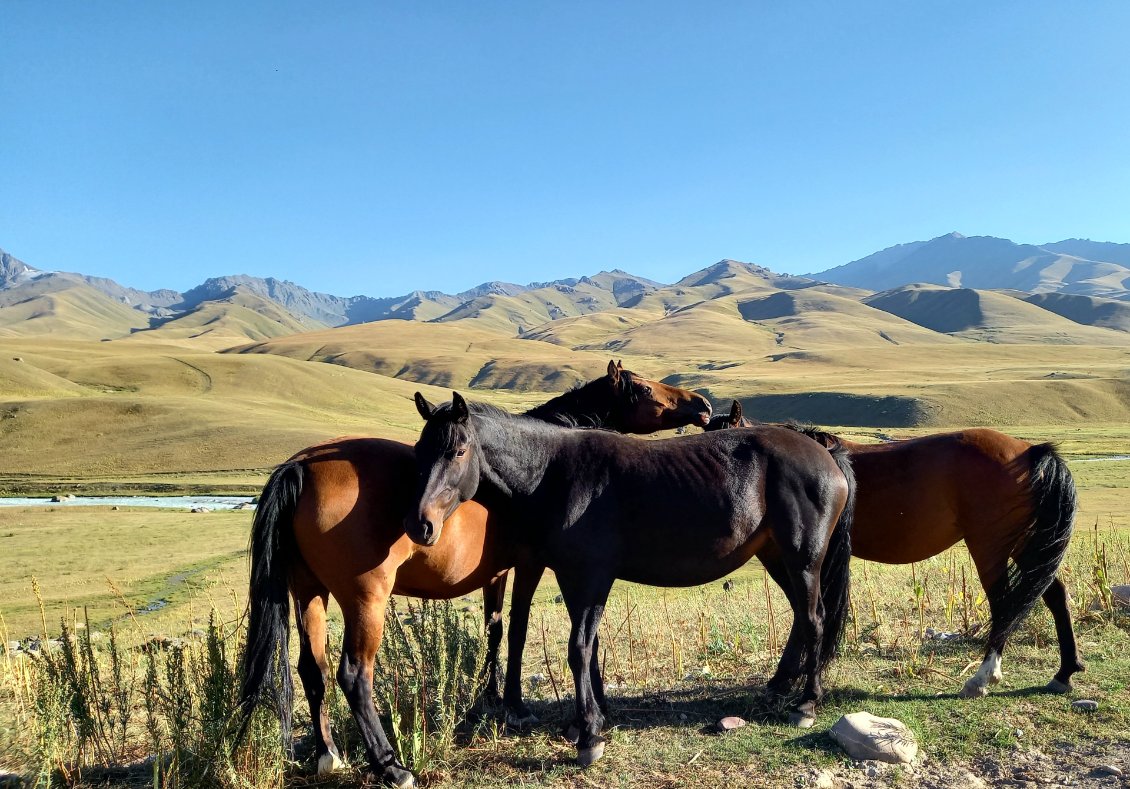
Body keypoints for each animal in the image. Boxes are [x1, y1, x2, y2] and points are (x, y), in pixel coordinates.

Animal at [236, 361, 714, 786]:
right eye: (646, 389)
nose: (704, 406)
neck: (542, 466)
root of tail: (300, 465)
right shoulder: (532, 565)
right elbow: (521, 630)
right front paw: (522, 707)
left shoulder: (496, 573)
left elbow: (496, 629)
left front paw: (493, 697)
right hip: (364, 600)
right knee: (354, 676)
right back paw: (392, 768)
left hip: (308, 592)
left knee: (312, 670)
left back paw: (328, 755)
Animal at [409, 391, 854, 764]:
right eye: (419, 450)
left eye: (458, 450)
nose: (420, 526)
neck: (554, 476)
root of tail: (824, 452)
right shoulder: (572, 578)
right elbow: (587, 648)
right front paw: (587, 720)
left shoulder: (592, 578)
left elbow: (578, 649)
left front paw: (589, 735)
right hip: (777, 557)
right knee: (802, 617)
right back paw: (780, 686)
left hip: (803, 559)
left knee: (814, 619)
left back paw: (806, 704)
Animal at [700, 400, 1080, 696]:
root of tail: (1029, 452)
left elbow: (805, 611)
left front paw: (788, 677)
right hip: (1022, 545)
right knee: (1053, 595)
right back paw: (1064, 673)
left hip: (991, 547)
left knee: (1003, 603)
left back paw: (982, 678)